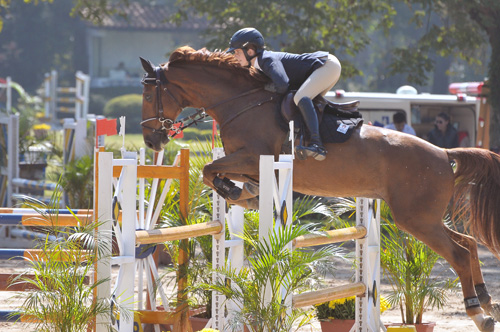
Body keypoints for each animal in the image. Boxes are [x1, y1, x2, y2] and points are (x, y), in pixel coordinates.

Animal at [140, 45, 500, 330]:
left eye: (146, 94)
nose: (150, 141)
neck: (239, 102)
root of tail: (443, 153)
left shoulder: (253, 156)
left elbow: (208, 170)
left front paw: (232, 191)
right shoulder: (250, 163)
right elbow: (217, 174)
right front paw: (244, 194)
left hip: (415, 219)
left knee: (457, 252)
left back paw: (478, 313)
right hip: (422, 217)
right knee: (468, 243)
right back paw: (486, 300)